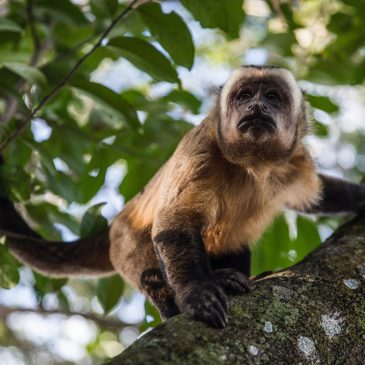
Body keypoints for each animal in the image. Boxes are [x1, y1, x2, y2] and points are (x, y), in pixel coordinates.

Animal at [4, 64, 364, 328]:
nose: (257, 106)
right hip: (123, 242)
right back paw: (183, 300)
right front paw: (197, 293)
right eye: (245, 95)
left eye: (273, 97)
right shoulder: (202, 149)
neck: (254, 162)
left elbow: (318, 197)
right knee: (149, 266)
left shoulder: (296, 161)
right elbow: (175, 224)